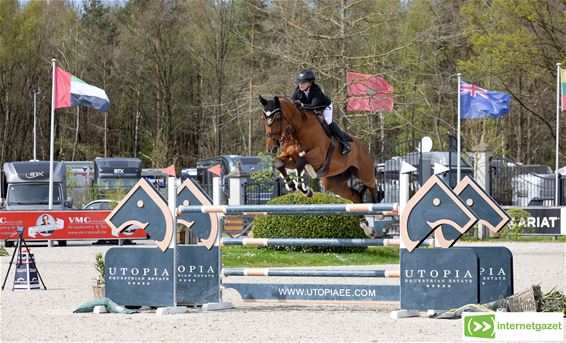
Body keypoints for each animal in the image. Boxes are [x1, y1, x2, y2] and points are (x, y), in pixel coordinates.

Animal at [262, 95, 382, 238]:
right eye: (264, 119)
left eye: (277, 118)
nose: (271, 148)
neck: (297, 129)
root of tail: (363, 147)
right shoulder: (290, 157)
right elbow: (280, 163)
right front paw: (294, 186)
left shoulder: (318, 156)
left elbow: (301, 163)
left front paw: (303, 188)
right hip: (333, 183)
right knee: (355, 195)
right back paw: (367, 228)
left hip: (364, 172)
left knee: (372, 184)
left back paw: (378, 212)